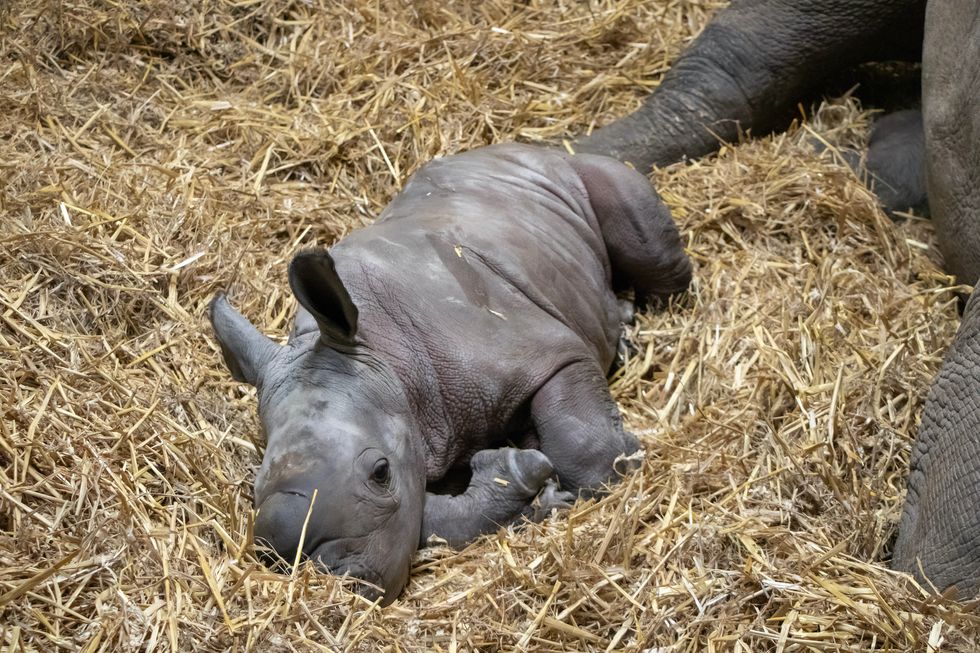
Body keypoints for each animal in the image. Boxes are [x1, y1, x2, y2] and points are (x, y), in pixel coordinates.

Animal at [211, 141, 692, 600]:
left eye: (381, 472)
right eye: (254, 490)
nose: (341, 580)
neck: (382, 351)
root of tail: (538, 148)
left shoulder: (548, 355)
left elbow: (585, 449)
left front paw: (618, 458)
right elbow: (429, 520)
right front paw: (534, 491)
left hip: (576, 180)